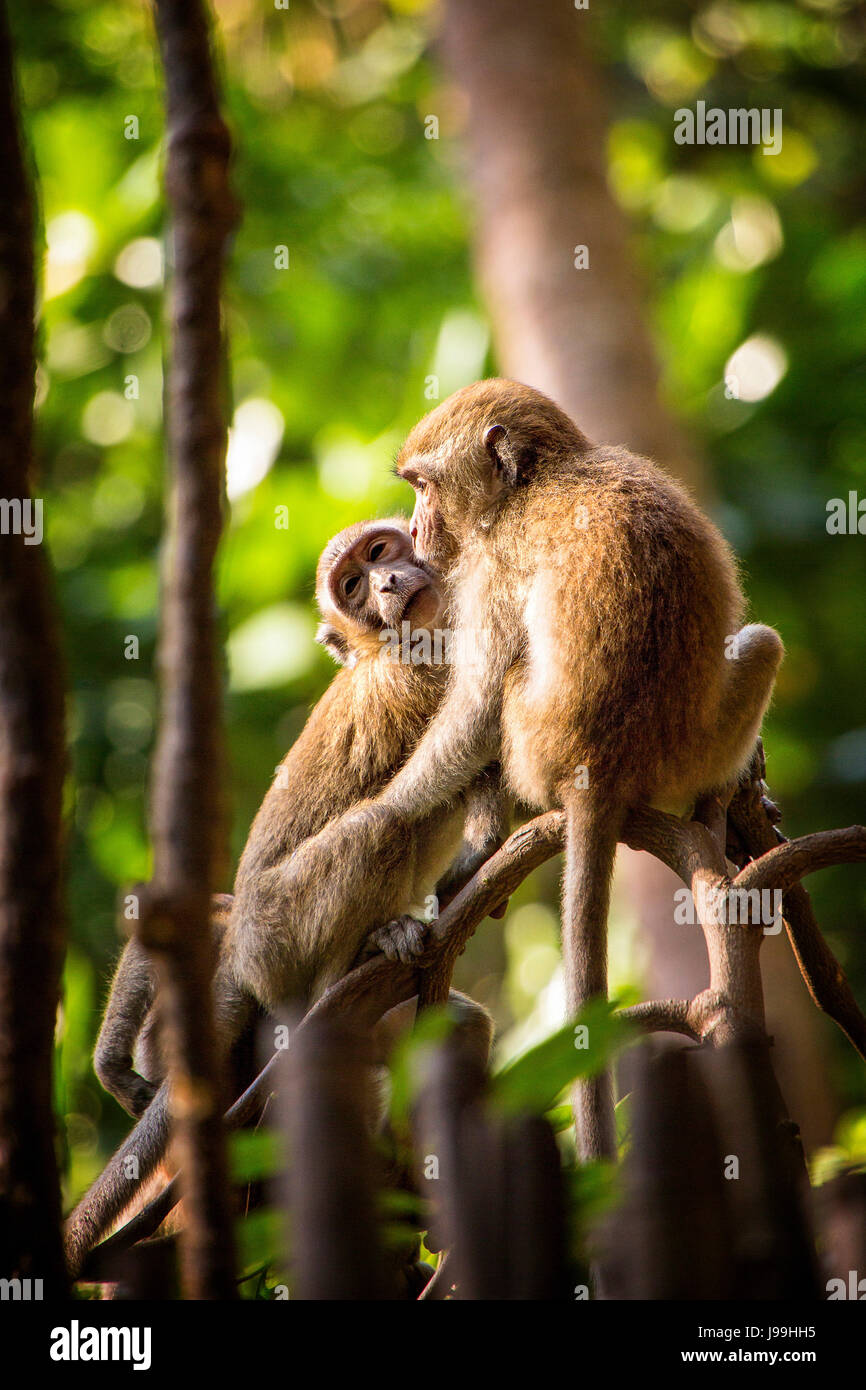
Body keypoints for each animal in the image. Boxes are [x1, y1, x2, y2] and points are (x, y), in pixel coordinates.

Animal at [66, 519, 500, 1273]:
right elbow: (464, 766)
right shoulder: (423, 673)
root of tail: (245, 956)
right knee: (382, 824)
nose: (387, 583)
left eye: (380, 554)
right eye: (353, 587)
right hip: (282, 927)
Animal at [353, 378, 783, 1162]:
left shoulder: (487, 567)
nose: (419, 527)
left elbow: (475, 707)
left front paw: (385, 813)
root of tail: (602, 768)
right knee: (762, 646)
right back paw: (733, 789)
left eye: (424, 487)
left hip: (535, 746)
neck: (543, 479)